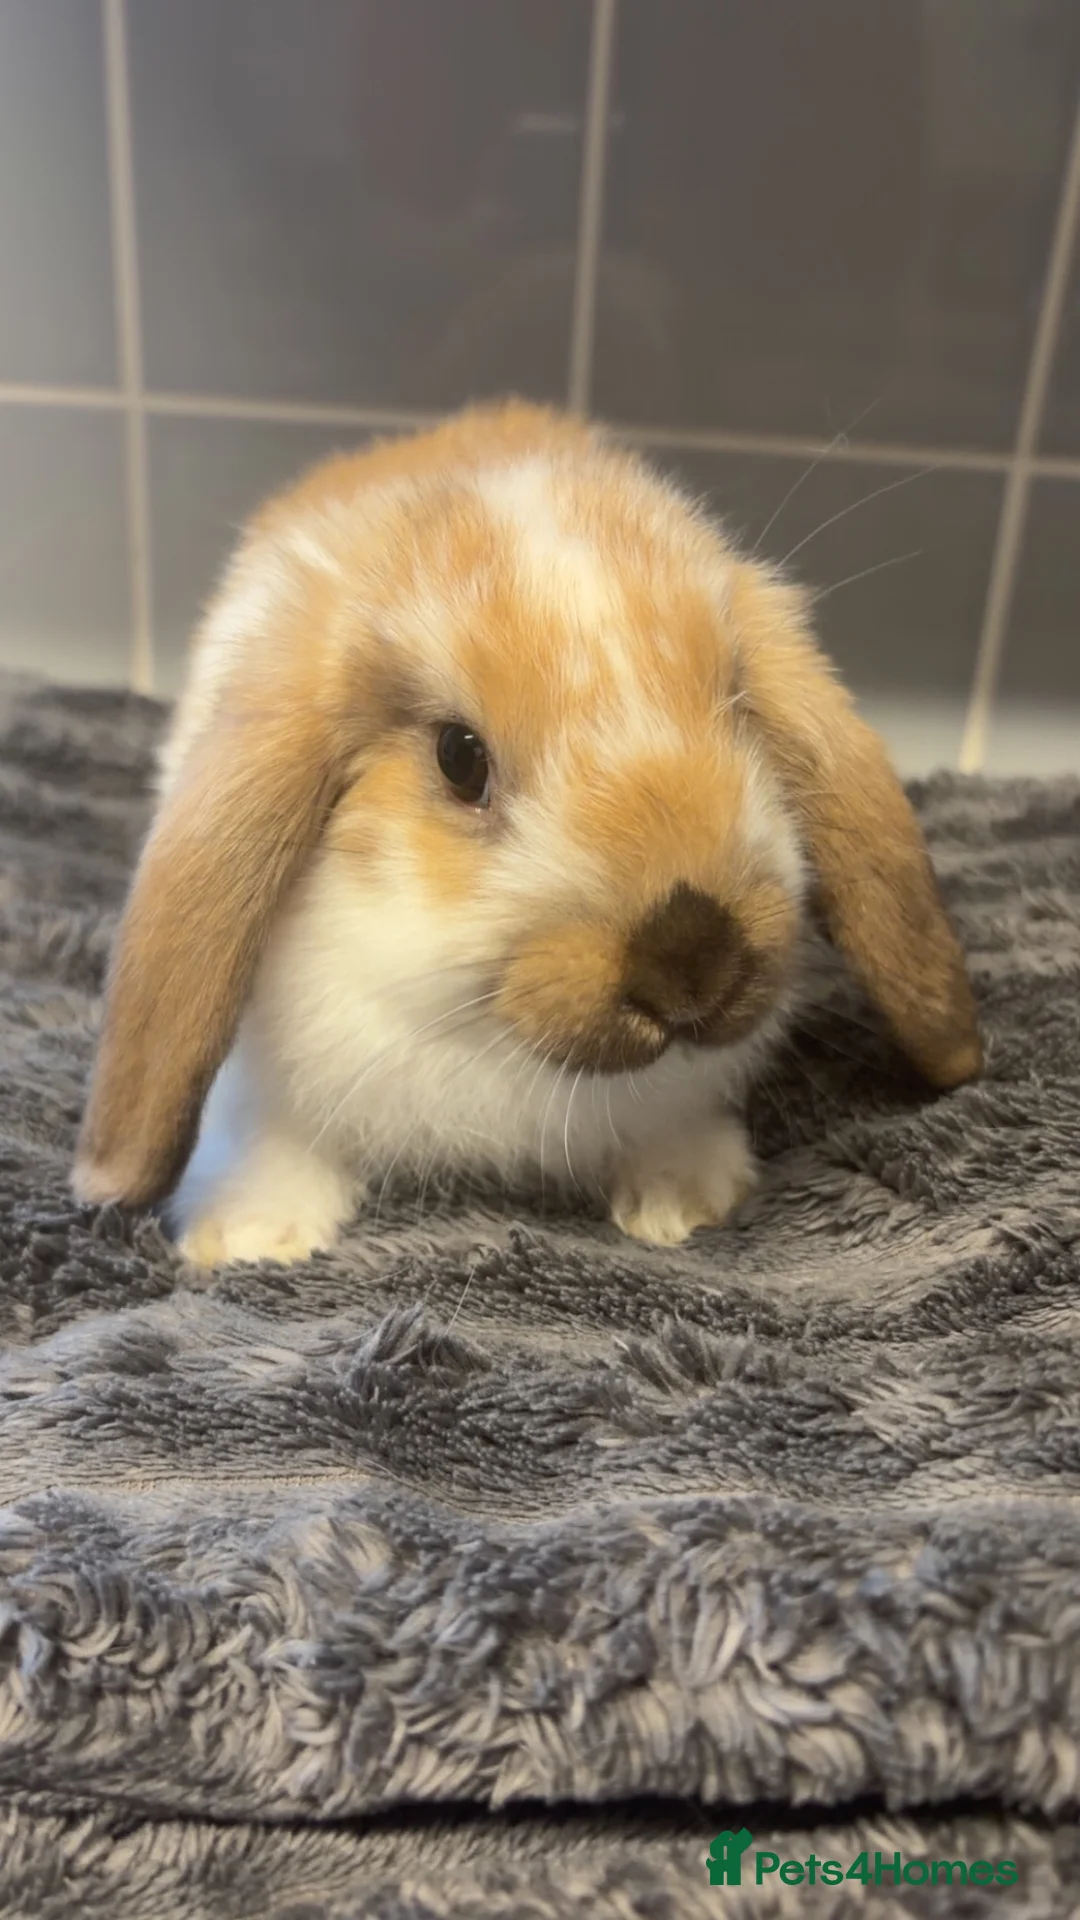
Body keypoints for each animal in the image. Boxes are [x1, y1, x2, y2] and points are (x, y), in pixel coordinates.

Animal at [73, 402, 981, 1265]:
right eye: (459, 757)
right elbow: (270, 1135)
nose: (692, 959)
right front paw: (250, 1235)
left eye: (738, 707)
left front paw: (686, 1198)